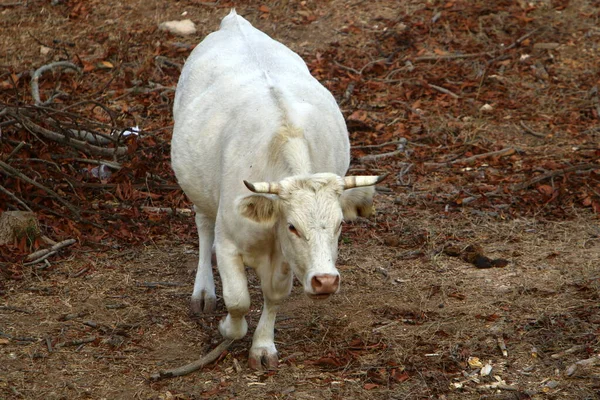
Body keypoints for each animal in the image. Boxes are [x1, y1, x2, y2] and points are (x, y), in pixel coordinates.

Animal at [170, 9, 384, 370]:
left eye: (340, 225)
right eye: (293, 226)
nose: (326, 281)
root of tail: (234, 22)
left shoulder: (285, 258)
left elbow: (275, 295)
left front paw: (262, 346)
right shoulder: (228, 242)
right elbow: (238, 299)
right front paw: (227, 327)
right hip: (197, 187)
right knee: (202, 226)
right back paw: (203, 292)